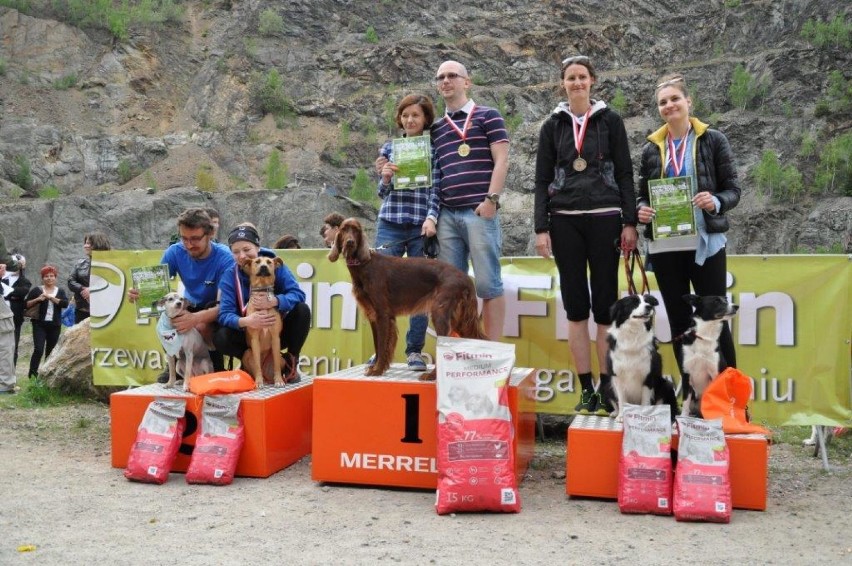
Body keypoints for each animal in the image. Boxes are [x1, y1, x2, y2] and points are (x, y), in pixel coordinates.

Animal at [240, 258, 286, 390]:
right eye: (257, 261)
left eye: (269, 262)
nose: (264, 267)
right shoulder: (255, 339)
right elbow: (257, 366)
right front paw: (258, 382)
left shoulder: (275, 338)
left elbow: (276, 365)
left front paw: (279, 380)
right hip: (247, 353)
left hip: (282, 358)